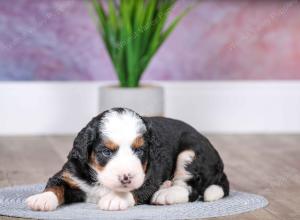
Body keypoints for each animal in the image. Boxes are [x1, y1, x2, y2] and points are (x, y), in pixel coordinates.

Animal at [25, 108, 230, 211]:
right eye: (106, 152)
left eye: (139, 150)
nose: (126, 177)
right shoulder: (71, 173)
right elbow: (56, 185)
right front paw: (42, 199)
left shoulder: (149, 176)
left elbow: (137, 187)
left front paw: (116, 198)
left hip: (190, 152)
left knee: (190, 189)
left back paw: (166, 194)